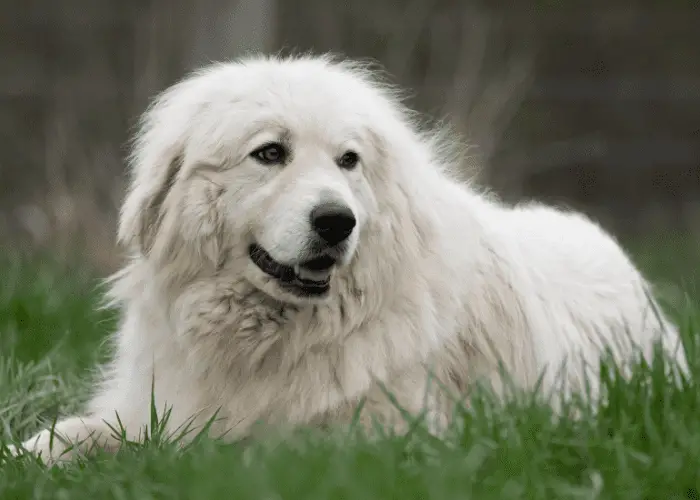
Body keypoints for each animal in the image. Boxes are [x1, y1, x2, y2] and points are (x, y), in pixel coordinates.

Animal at [13, 54, 688, 464]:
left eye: (348, 161)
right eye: (270, 153)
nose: (338, 221)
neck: (271, 340)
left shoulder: (373, 436)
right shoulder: (151, 405)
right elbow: (67, 435)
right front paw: (26, 458)